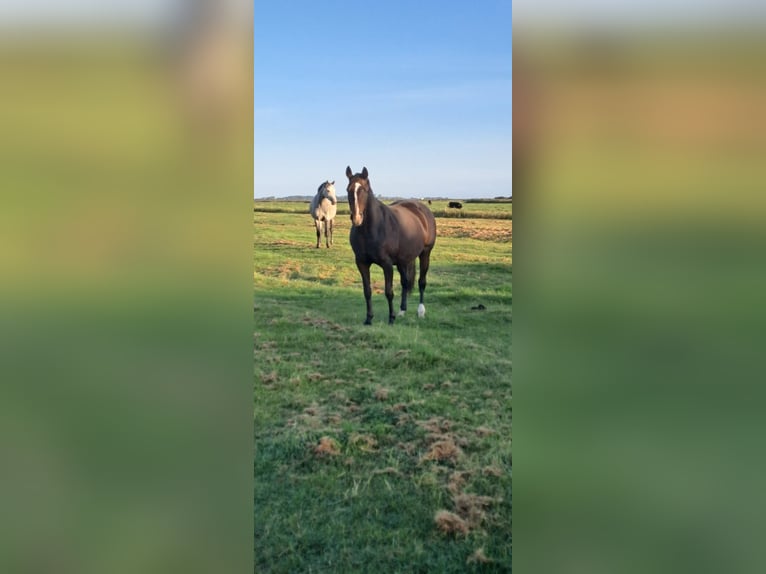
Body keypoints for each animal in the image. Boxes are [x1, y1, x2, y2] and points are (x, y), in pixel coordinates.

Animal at [348, 169, 438, 326]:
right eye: (348, 190)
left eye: (363, 190)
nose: (356, 219)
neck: (372, 229)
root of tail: (422, 209)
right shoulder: (361, 263)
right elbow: (367, 291)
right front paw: (369, 318)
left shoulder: (387, 264)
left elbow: (389, 292)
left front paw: (391, 318)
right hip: (403, 260)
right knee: (405, 283)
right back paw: (402, 310)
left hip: (425, 254)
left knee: (421, 282)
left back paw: (421, 311)